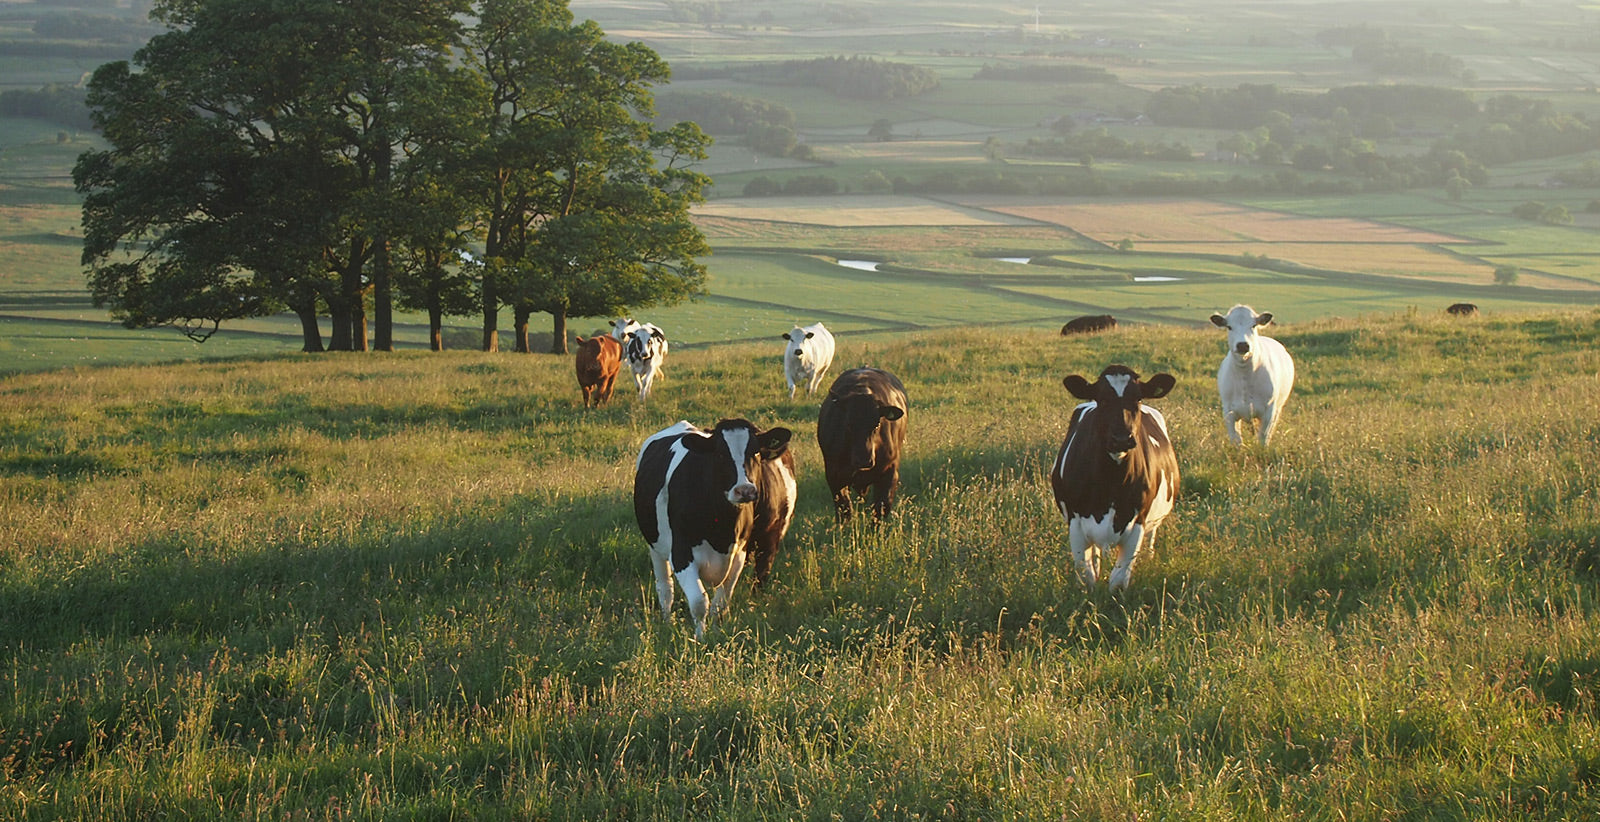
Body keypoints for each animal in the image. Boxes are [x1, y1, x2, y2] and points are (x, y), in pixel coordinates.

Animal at [630, 418, 793, 636]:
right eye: (720, 454)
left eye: (756, 452)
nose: (745, 490)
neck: (722, 528)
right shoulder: (681, 554)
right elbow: (699, 602)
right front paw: (700, 638)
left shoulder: (739, 554)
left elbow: (720, 603)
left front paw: (715, 633)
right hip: (654, 545)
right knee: (665, 588)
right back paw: (667, 622)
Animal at [819, 366, 908, 518]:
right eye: (848, 424)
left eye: (877, 424)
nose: (864, 460)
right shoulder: (834, 475)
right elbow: (844, 509)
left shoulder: (889, 473)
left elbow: (880, 509)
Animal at [1056, 361, 1184, 585]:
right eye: (1102, 399)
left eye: (1138, 398)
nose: (1122, 438)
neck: (1111, 482)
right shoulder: (1076, 522)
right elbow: (1087, 575)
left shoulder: (1138, 522)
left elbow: (1119, 579)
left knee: (1150, 542)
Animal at [1209, 302, 1299, 444]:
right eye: (1229, 327)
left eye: (1253, 325)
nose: (1242, 345)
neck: (1244, 375)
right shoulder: (1229, 412)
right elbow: (1236, 440)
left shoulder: (1269, 411)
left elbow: (1263, 438)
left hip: (1278, 408)